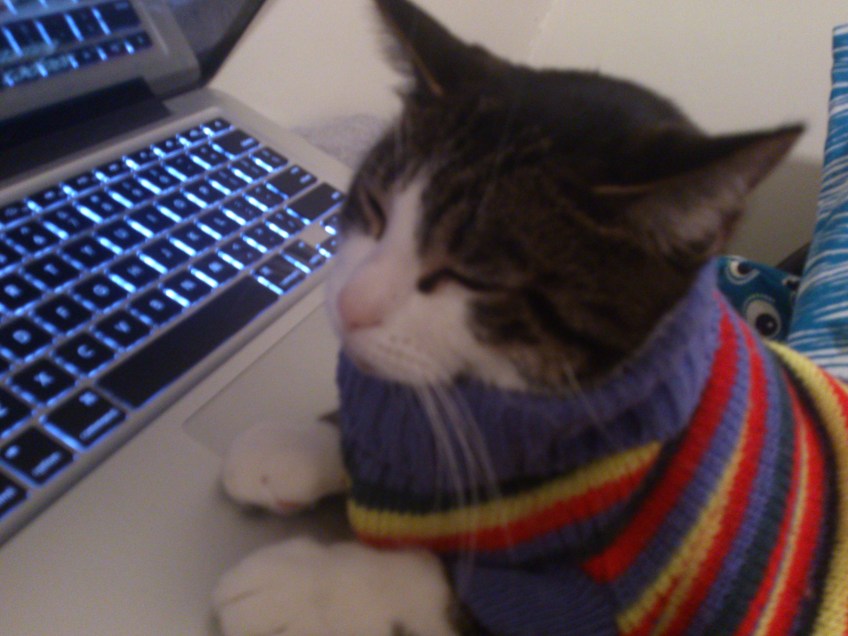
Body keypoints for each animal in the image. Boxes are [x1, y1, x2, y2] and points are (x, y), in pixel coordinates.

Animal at [212, 1, 848, 635]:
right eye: (373, 207)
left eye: (473, 277)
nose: (349, 305)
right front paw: (295, 447)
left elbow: (437, 581)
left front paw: (303, 587)